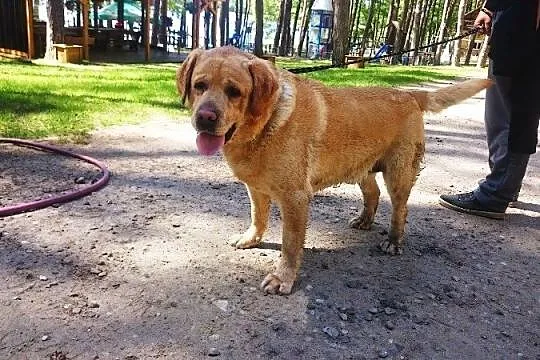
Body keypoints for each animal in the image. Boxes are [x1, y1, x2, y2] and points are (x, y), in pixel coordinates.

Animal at [176, 46, 490, 294]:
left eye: (234, 92)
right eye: (199, 85)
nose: (205, 117)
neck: (265, 124)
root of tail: (410, 95)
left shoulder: (295, 199)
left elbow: (290, 244)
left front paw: (283, 278)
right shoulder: (255, 188)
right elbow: (258, 217)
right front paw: (251, 239)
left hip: (399, 175)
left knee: (400, 210)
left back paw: (393, 241)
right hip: (362, 169)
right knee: (373, 194)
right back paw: (364, 220)